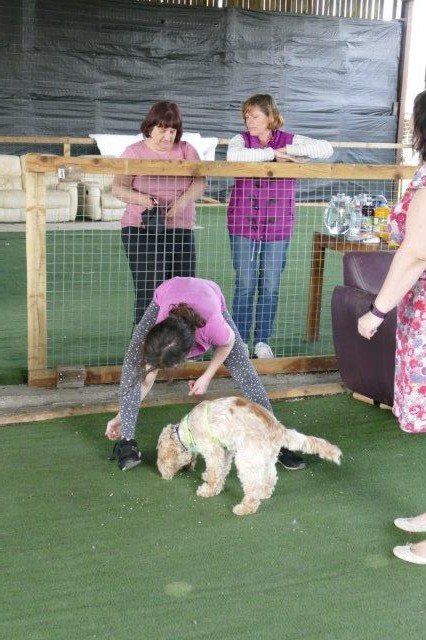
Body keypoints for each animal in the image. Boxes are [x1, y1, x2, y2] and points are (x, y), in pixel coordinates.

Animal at [157, 396, 342, 516]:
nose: (163, 474)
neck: (185, 432)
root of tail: (278, 428)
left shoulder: (214, 451)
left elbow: (215, 472)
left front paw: (208, 489)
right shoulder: (227, 450)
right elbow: (220, 471)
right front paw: (209, 479)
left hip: (245, 461)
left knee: (252, 490)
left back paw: (245, 508)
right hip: (264, 458)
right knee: (270, 478)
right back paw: (264, 493)